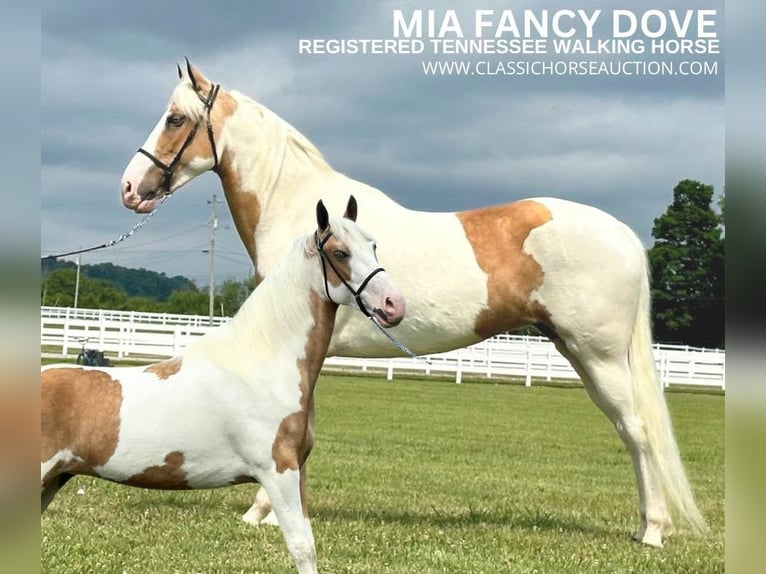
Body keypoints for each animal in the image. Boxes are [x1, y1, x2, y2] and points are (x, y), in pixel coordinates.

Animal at [40, 199, 408, 574]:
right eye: (340, 253)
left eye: (373, 246)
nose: (395, 304)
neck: (264, 358)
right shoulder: (278, 472)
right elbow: (303, 547)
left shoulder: (298, 470)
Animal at [118, 60, 708, 548]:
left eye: (174, 118)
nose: (129, 188)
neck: (307, 221)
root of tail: (623, 234)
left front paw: (261, 511)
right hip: (580, 354)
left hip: (599, 356)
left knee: (637, 432)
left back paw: (652, 532)